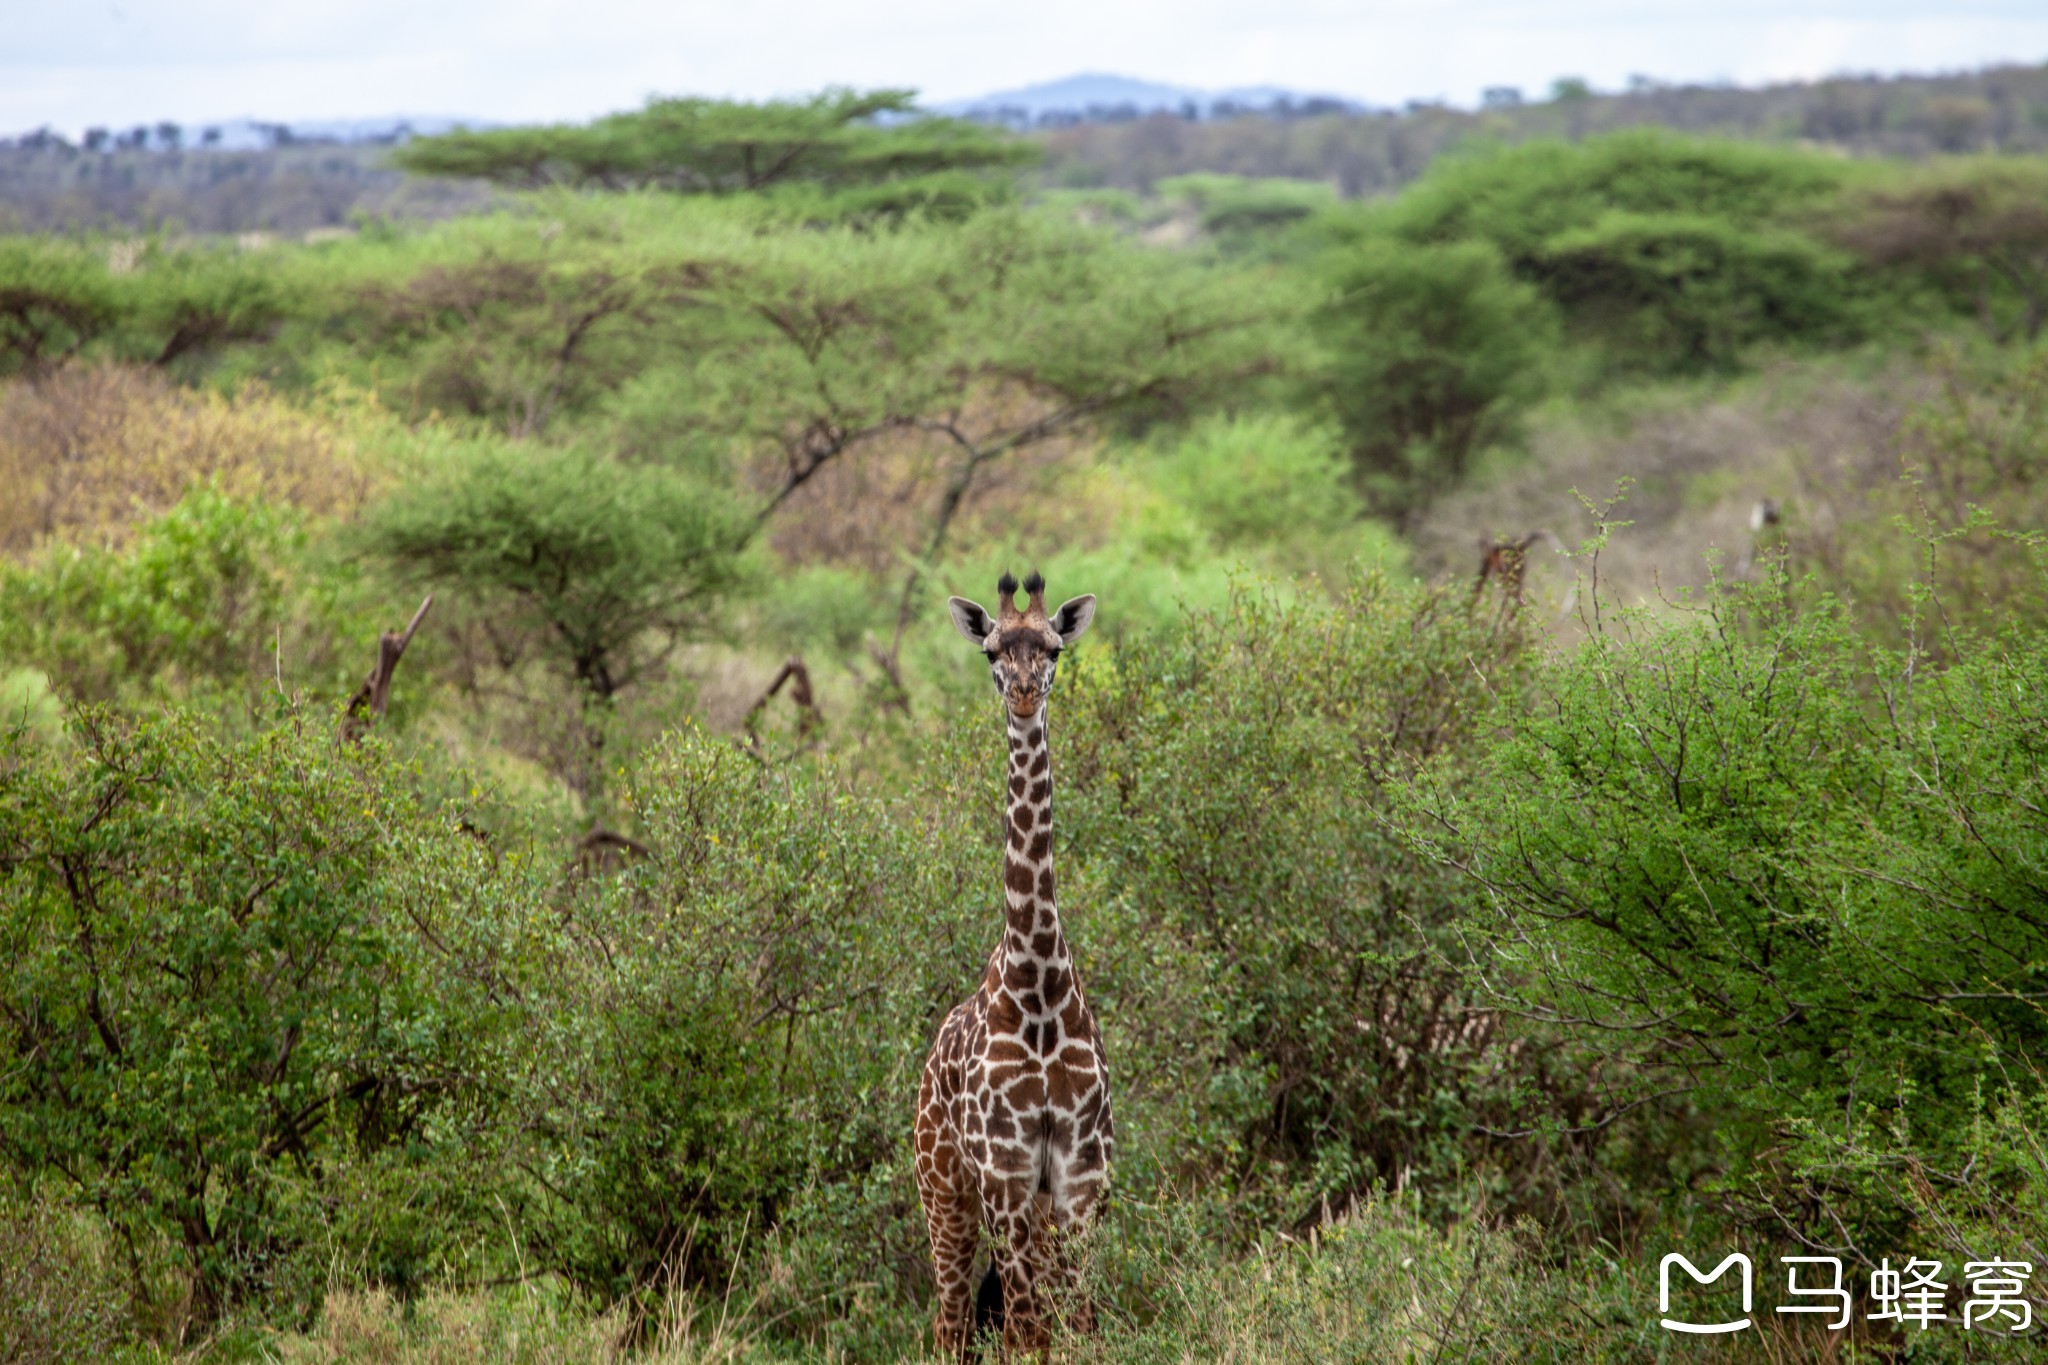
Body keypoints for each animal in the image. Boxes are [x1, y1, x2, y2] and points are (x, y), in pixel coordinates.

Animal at [917, 573, 1114, 1358]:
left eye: (1054, 648)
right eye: (993, 650)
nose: (1025, 692)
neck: (1039, 990)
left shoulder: (1080, 1173)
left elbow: (1076, 1322)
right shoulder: (1003, 1171)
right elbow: (1028, 1331)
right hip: (943, 1188)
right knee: (948, 1319)